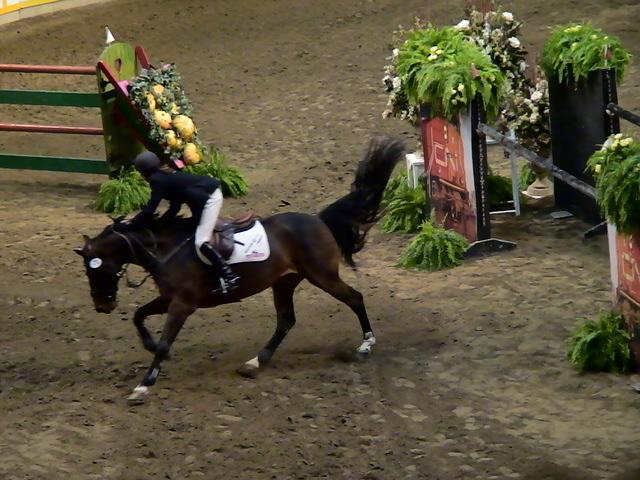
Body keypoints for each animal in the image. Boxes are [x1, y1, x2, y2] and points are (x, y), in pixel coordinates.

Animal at [74, 136, 406, 404]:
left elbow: (165, 340)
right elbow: (138, 315)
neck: (163, 250)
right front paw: (150, 344)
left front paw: (144, 385)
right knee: (286, 320)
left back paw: (365, 346)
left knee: (354, 298)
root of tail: (319, 220)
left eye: (94, 270)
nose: (102, 306)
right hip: (284, 282)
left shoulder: (183, 304)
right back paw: (255, 362)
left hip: (322, 275)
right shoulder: (169, 298)